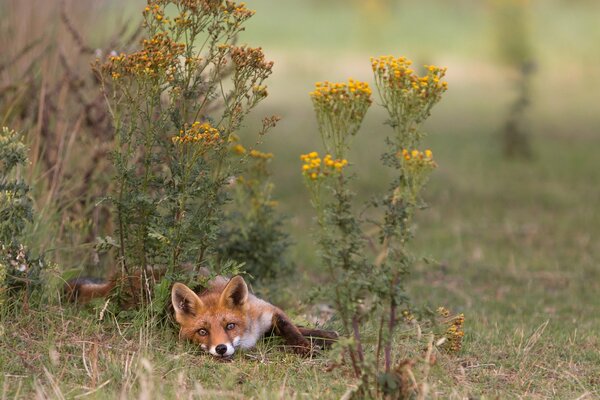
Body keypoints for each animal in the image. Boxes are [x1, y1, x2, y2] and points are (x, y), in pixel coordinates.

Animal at [67, 272, 338, 356]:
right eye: (202, 332)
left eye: (230, 326)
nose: (221, 349)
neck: (249, 335)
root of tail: (118, 278)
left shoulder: (268, 311)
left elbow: (294, 329)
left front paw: (316, 342)